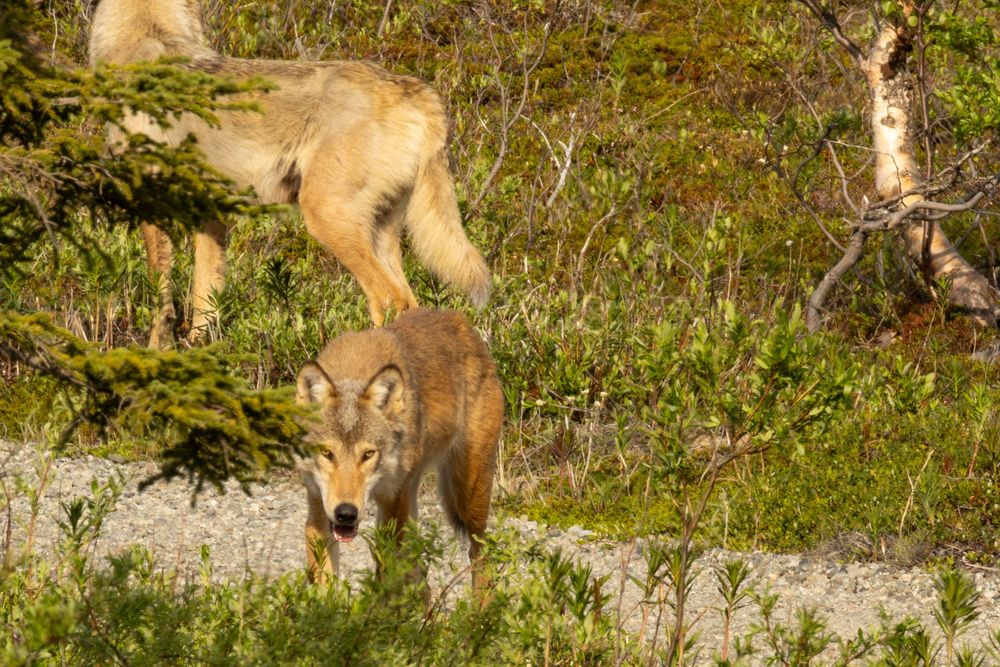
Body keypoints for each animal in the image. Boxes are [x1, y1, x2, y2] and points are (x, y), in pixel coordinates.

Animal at [89, 0, 491, 348]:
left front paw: (158, 353)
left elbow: (163, 303)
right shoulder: (212, 216)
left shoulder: (152, 207)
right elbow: (205, 300)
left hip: (327, 219)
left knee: (387, 299)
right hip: (378, 233)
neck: (146, 40)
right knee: (409, 301)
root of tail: (414, 88)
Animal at [295, 308, 503, 593]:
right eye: (327, 453)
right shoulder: (318, 513)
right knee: (422, 574)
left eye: (368, 454)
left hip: (468, 496)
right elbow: (325, 590)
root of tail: (459, 320)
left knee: (480, 553)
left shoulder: (391, 511)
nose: (346, 514)